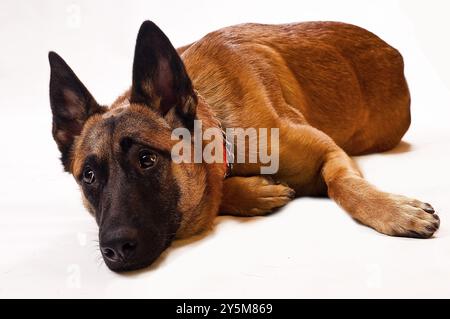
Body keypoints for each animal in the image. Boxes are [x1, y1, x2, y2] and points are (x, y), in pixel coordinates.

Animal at [48, 20, 440, 272]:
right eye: (89, 176)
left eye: (146, 159)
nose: (115, 249)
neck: (219, 125)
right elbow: (220, 190)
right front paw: (258, 192)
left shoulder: (329, 152)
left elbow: (343, 185)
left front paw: (393, 211)